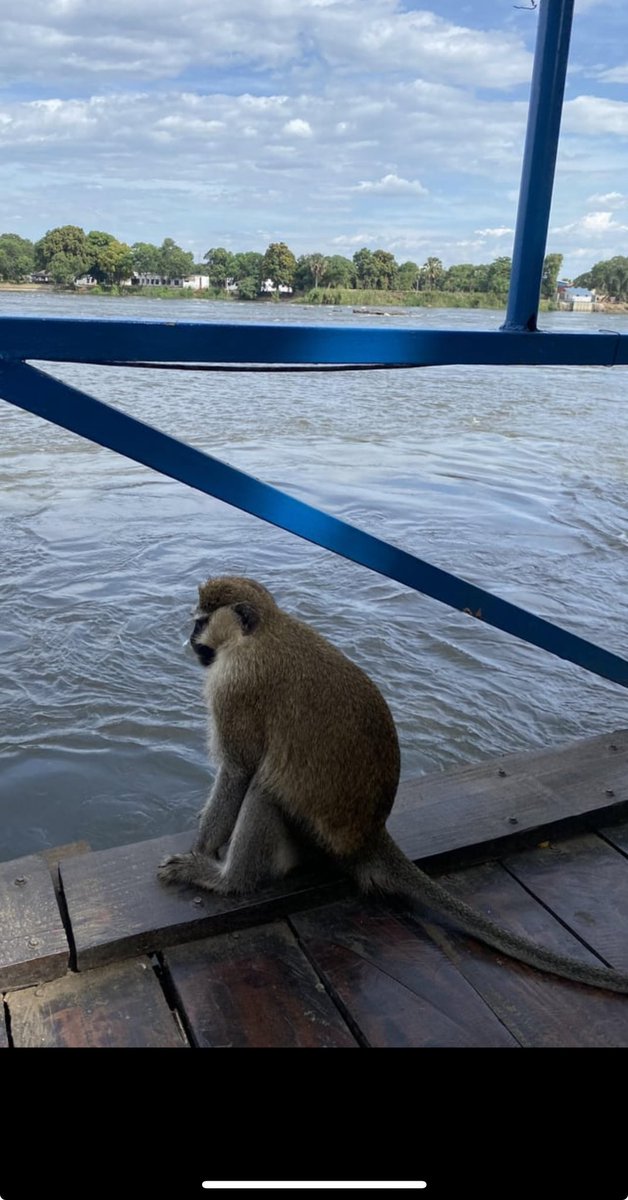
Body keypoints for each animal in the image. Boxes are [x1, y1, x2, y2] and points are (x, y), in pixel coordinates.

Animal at [158, 575, 628, 993]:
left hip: (318, 836)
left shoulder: (233, 688)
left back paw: (230, 881)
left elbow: (238, 771)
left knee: (265, 792)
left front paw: (202, 851)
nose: (189, 639)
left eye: (201, 622)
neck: (261, 634)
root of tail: (370, 834)